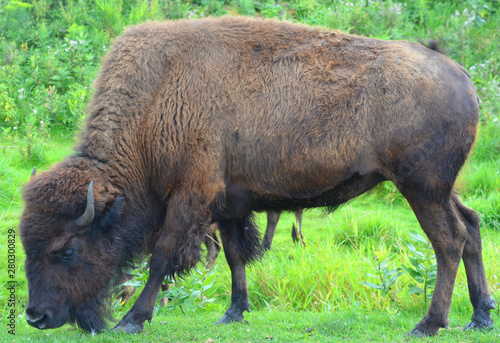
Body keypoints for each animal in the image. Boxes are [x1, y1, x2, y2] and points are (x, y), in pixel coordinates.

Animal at [20, 16, 492, 338]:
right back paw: (480, 317)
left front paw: (132, 320)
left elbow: (162, 257)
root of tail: (461, 74)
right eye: (27, 243)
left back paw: (429, 324)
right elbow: (234, 256)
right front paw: (234, 312)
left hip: (421, 188)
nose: (35, 316)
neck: (156, 102)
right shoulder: (229, 203)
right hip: (440, 188)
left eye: (67, 250)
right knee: (471, 225)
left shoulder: (191, 196)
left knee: (448, 240)